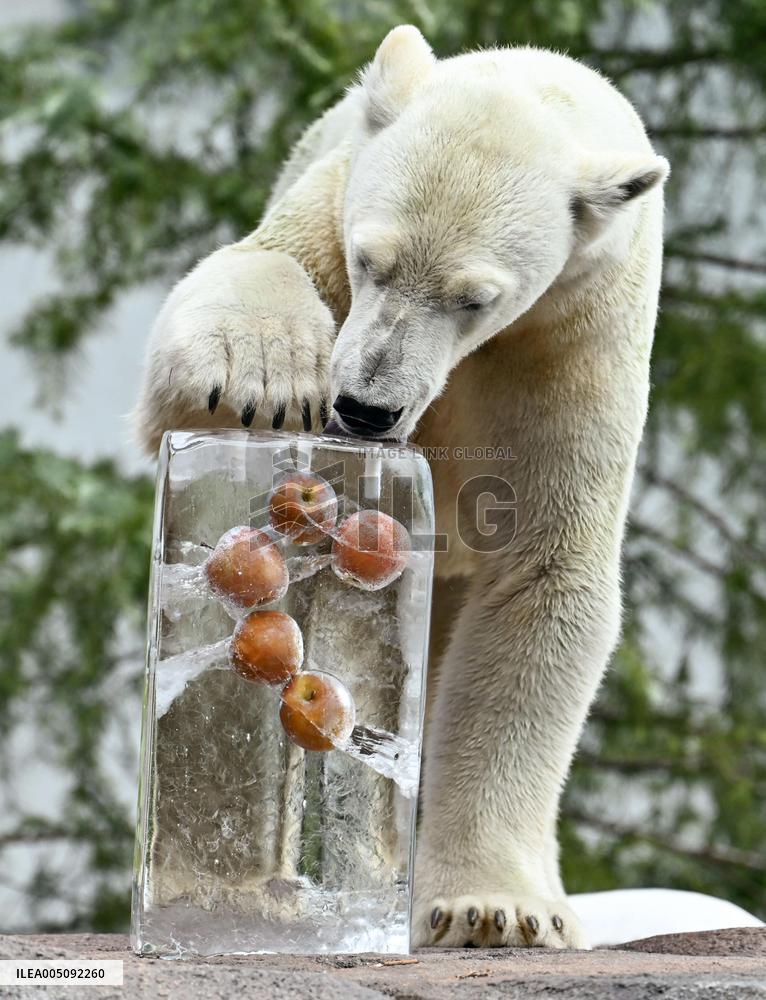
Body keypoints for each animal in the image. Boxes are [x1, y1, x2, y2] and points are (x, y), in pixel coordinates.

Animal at [134, 25, 669, 949]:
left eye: (475, 298)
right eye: (369, 261)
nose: (365, 407)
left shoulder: (575, 337)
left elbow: (543, 574)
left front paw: (494, 909)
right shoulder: (331, 196)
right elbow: (244, 282)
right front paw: (266, 374)